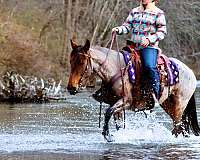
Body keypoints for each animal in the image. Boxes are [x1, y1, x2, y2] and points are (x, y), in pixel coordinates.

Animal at [67, 38, 200, 141]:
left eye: (82, 62)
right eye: (71, 61)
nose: (71, 88)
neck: (115, 68)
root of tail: (190, 72)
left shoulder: (126, 102)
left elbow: (108, 112)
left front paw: (107, 135)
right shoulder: (115, 103)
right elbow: (117, 122)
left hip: (179, 104)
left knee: (178, 125)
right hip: (168, 104)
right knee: (181, 125)